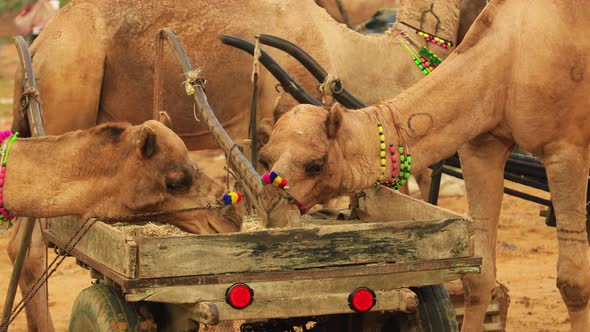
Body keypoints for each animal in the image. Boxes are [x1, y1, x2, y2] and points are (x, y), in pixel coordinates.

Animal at [260, 1, 590, 330]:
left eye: (315, 164)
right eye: (265, 157)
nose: (272, 209)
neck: (510, 57)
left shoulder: (565, 150)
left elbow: (573, 283)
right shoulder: (481, 145)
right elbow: (478, 278)